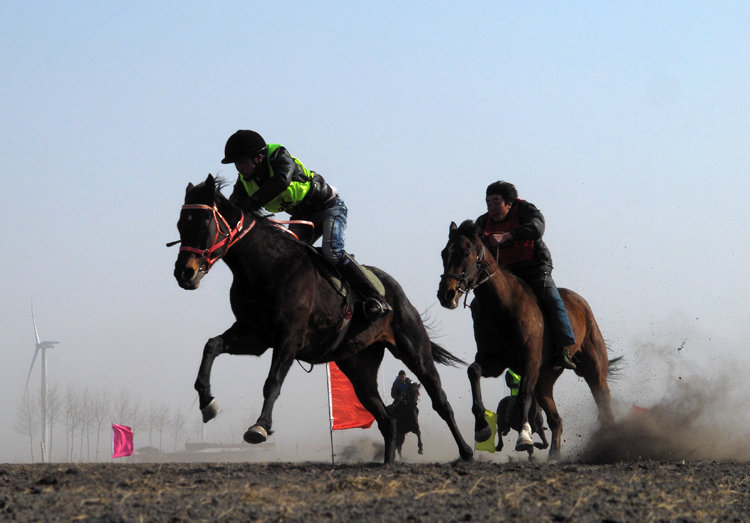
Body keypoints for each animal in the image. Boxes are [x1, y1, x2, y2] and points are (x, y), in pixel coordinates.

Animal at [173, 177, 472, 466]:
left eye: (204, 223)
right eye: (180, 224)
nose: (184, 273)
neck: (267, 267)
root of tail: (396, 292)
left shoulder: (289, 338)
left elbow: (273, 381)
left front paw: (260, 427)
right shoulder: (254, 336)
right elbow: (212, 345)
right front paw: (207, 402)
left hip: (414, 351)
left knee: (440, 401)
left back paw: (466, 451)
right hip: (359, 367)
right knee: (387, 420)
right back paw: (387, 464)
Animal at [438, 221, 620, 462]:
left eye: (466, 252)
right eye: (444, 253)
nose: (446, 294)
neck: (502, 308)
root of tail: (581, 303)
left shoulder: (530, 360)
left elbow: (523, 394)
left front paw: (524, 436)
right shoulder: (493, 361)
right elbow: (473, 371)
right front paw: (482, 426)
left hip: (593, 366)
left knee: (603, 403)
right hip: (546, 380)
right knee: (556, 419)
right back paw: (554, 455)